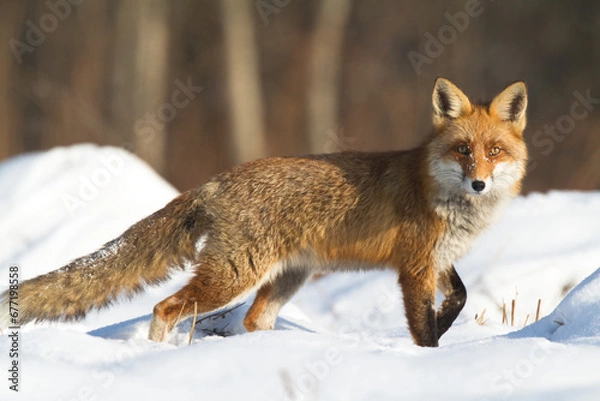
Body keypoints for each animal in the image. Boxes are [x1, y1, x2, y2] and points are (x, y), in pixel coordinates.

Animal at [0, 77, 524, 344]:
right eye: (463, 150)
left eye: (494, 151)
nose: (478, 182)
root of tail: (217, 180)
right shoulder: (414, 266)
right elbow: (423, 327)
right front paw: (429, 356)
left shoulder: (439, 259)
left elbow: (459, 296)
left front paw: (449, 324)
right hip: (234, 276)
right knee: (165, 307)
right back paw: (156, 358)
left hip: (286, 278)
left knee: (253, 322)